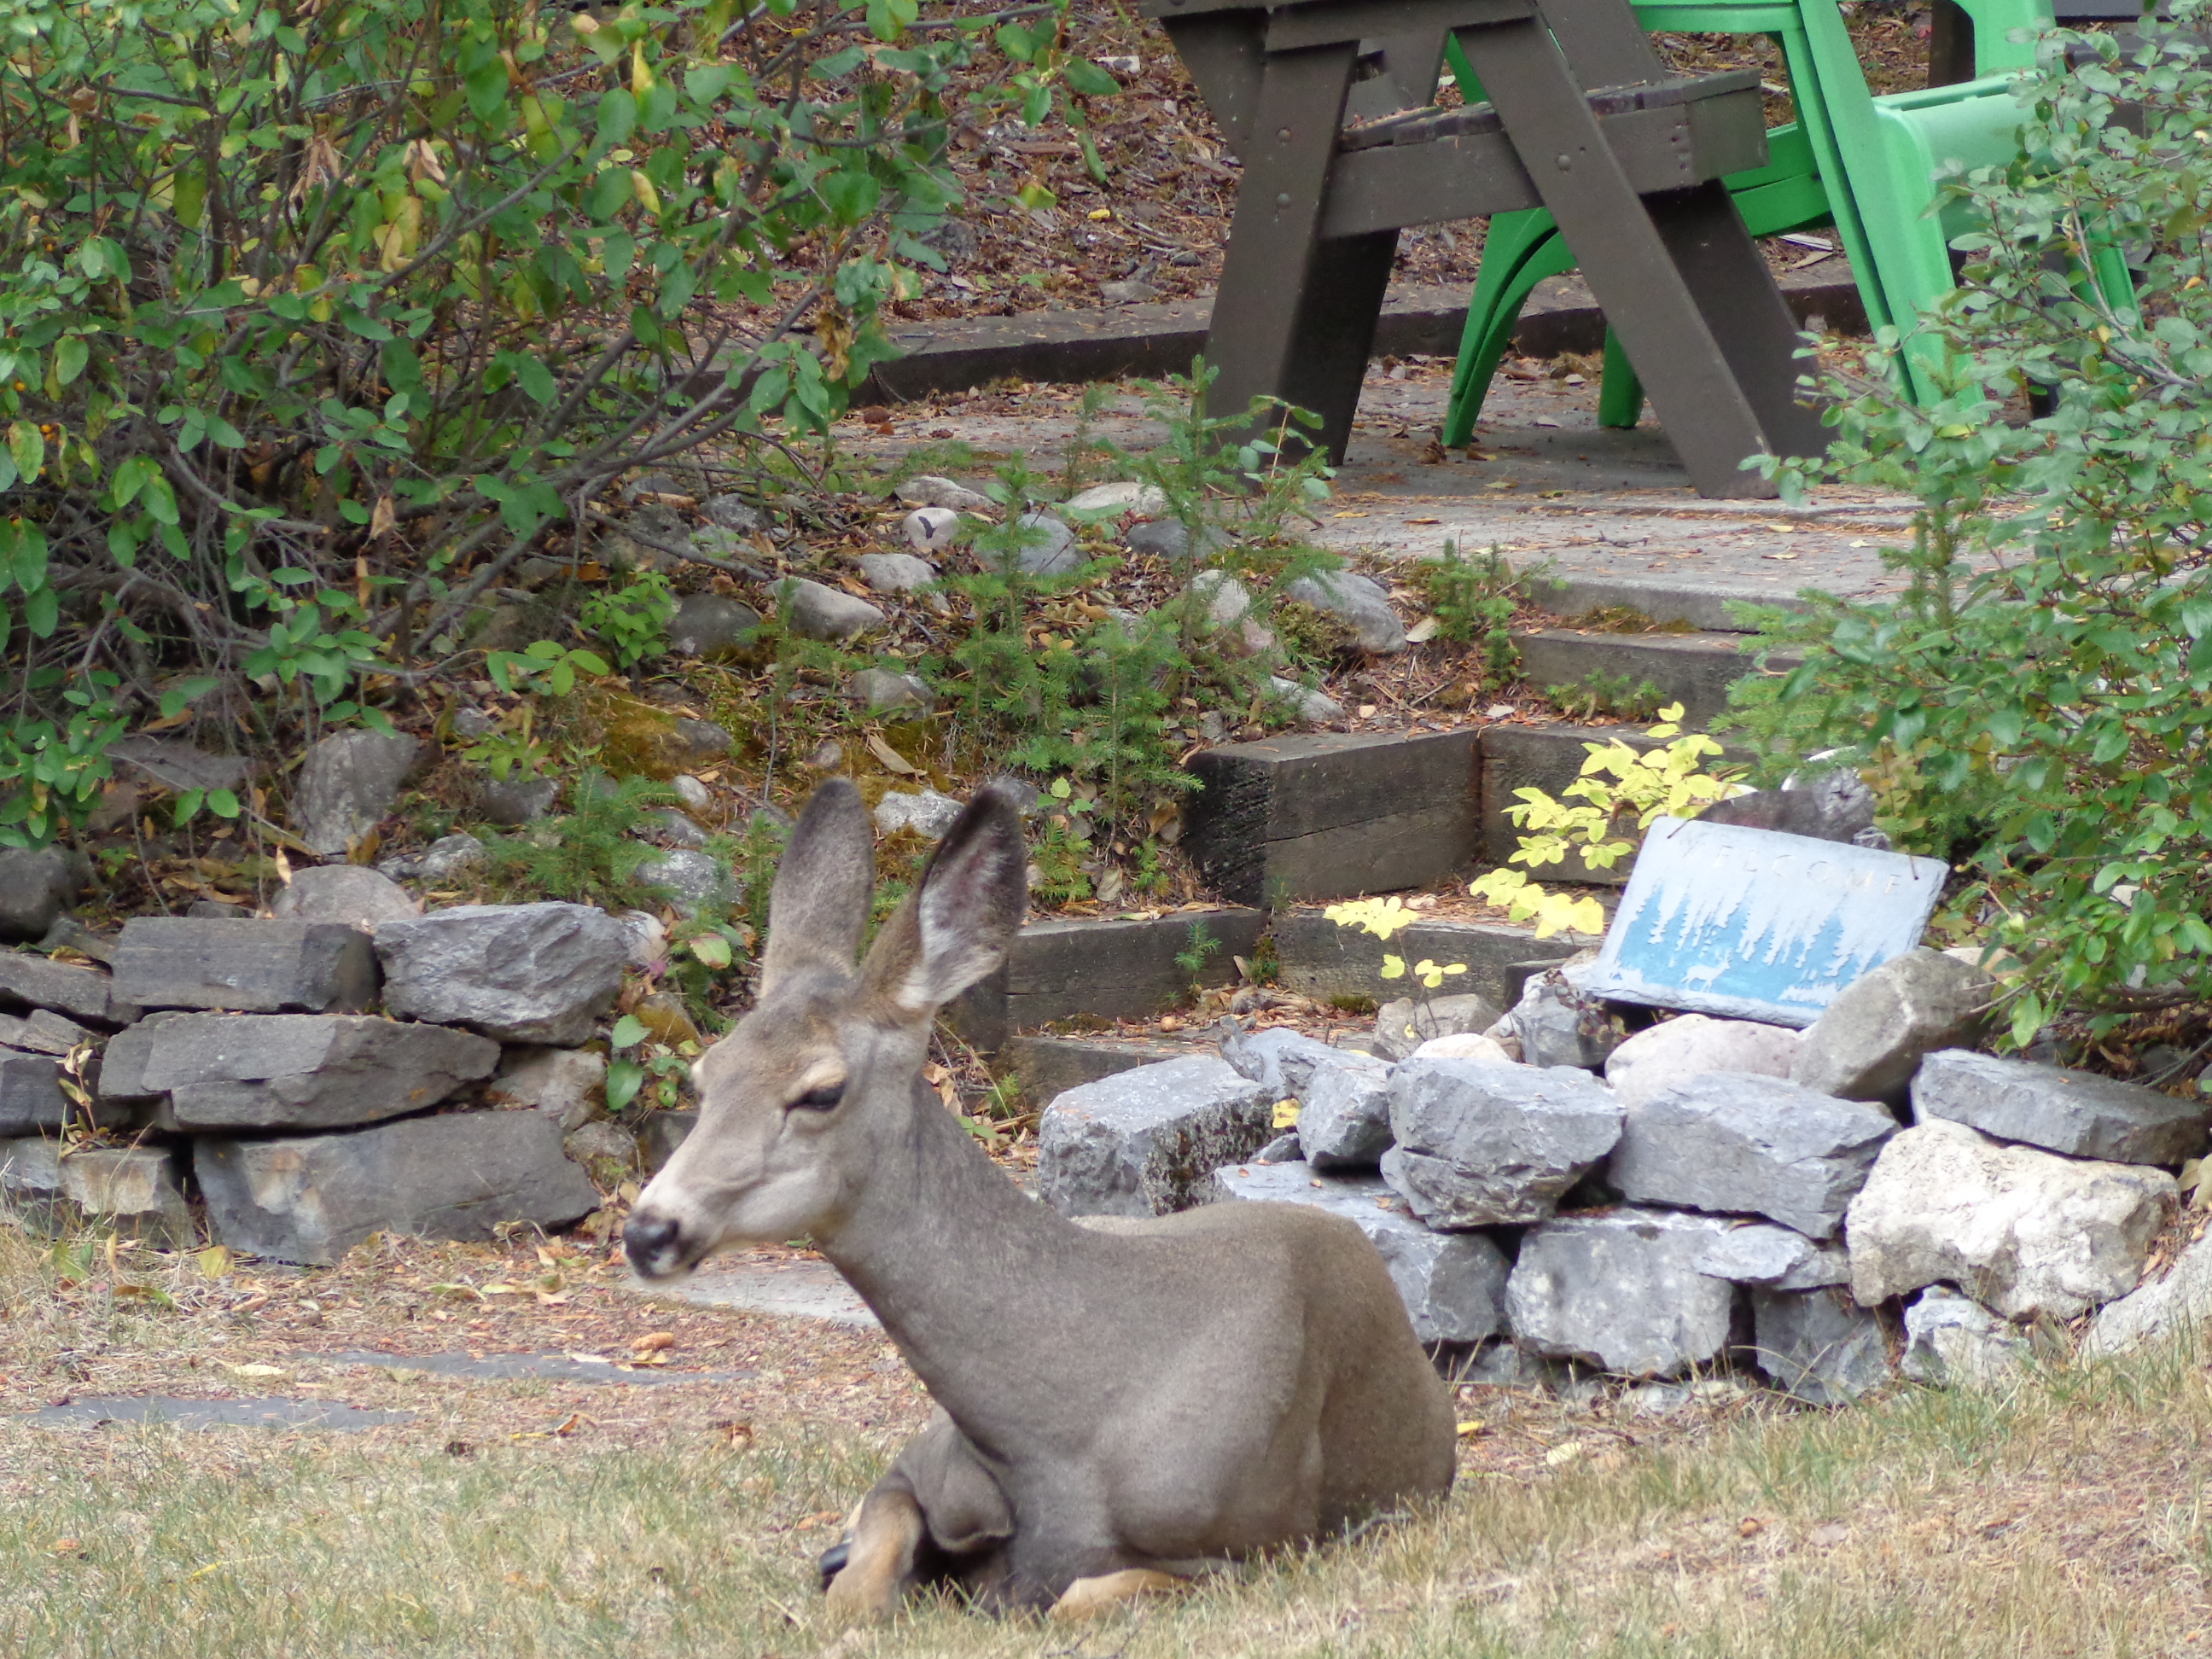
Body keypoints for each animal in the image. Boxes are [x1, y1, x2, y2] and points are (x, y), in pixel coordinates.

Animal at [624, 778, 1455, 1622]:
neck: (1052, 1438)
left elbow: (1073, 1597)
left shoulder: (1259, 1544)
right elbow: (859, 1583)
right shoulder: (915, 1464)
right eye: (706, 1075)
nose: (650, 1230)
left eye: (821, 1091)